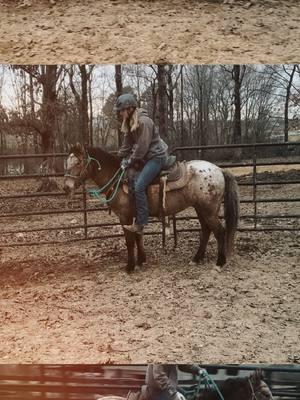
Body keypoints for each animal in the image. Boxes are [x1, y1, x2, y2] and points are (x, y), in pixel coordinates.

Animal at [63, 142, 239, 274]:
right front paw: (141, 261)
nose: (66, 187)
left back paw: (220, 263)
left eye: (78, 162)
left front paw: (130, 267)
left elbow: (129, 241)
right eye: (67, 162)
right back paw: (196, 259)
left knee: (220, 232)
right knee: (206, 230)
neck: (119, 180)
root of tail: (219, 170)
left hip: (209, 210)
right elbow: (138, 237)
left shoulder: (124, 217)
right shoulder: (135, 216)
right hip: (200, 208)